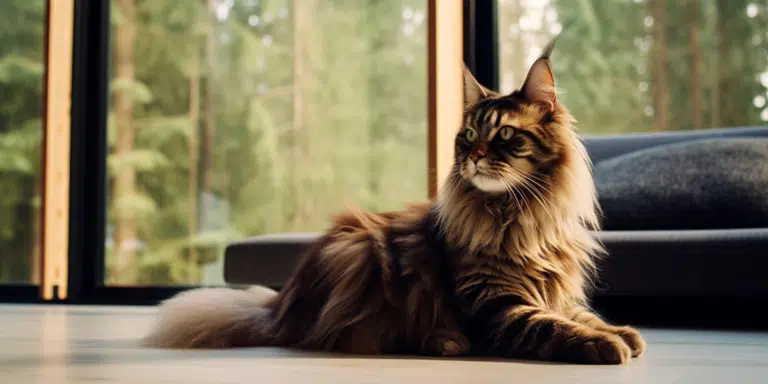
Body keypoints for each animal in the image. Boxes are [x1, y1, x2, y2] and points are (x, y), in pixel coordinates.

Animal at [141, 37, 644, 364]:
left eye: (503, 135)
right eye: (467, 136)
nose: (474, 156)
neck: (518, 216)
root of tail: (279, 305)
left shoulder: (554, 288)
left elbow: (579, 312)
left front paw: (622, 332)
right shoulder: (495, 303)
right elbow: (549, 325)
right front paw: (605, 345)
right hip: (360, 255)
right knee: (345, 336)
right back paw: (444, 342)